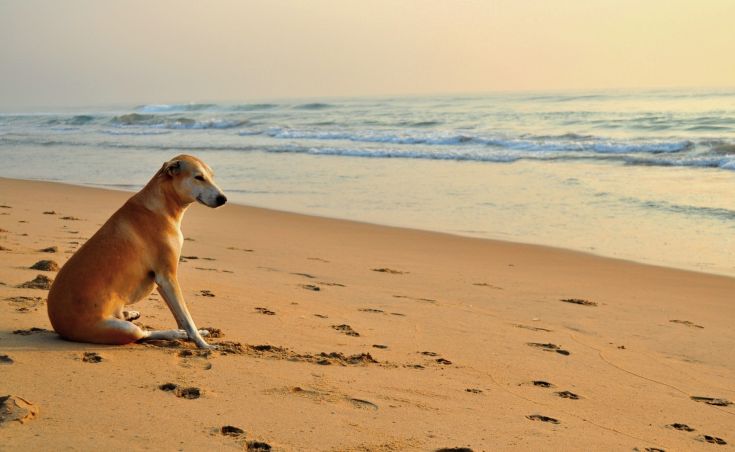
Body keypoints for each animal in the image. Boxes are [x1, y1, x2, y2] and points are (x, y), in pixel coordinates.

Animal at [47, 155, 226, 350]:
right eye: (198, 177)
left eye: (212, 176)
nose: (223, 199)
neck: (161, 206)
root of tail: (59, 326)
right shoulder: (167, 277)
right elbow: (187, 320)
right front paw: (202, 343)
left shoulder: (163, 283)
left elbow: (181, 317)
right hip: (122, 329)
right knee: (143, 334)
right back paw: (176, 333)